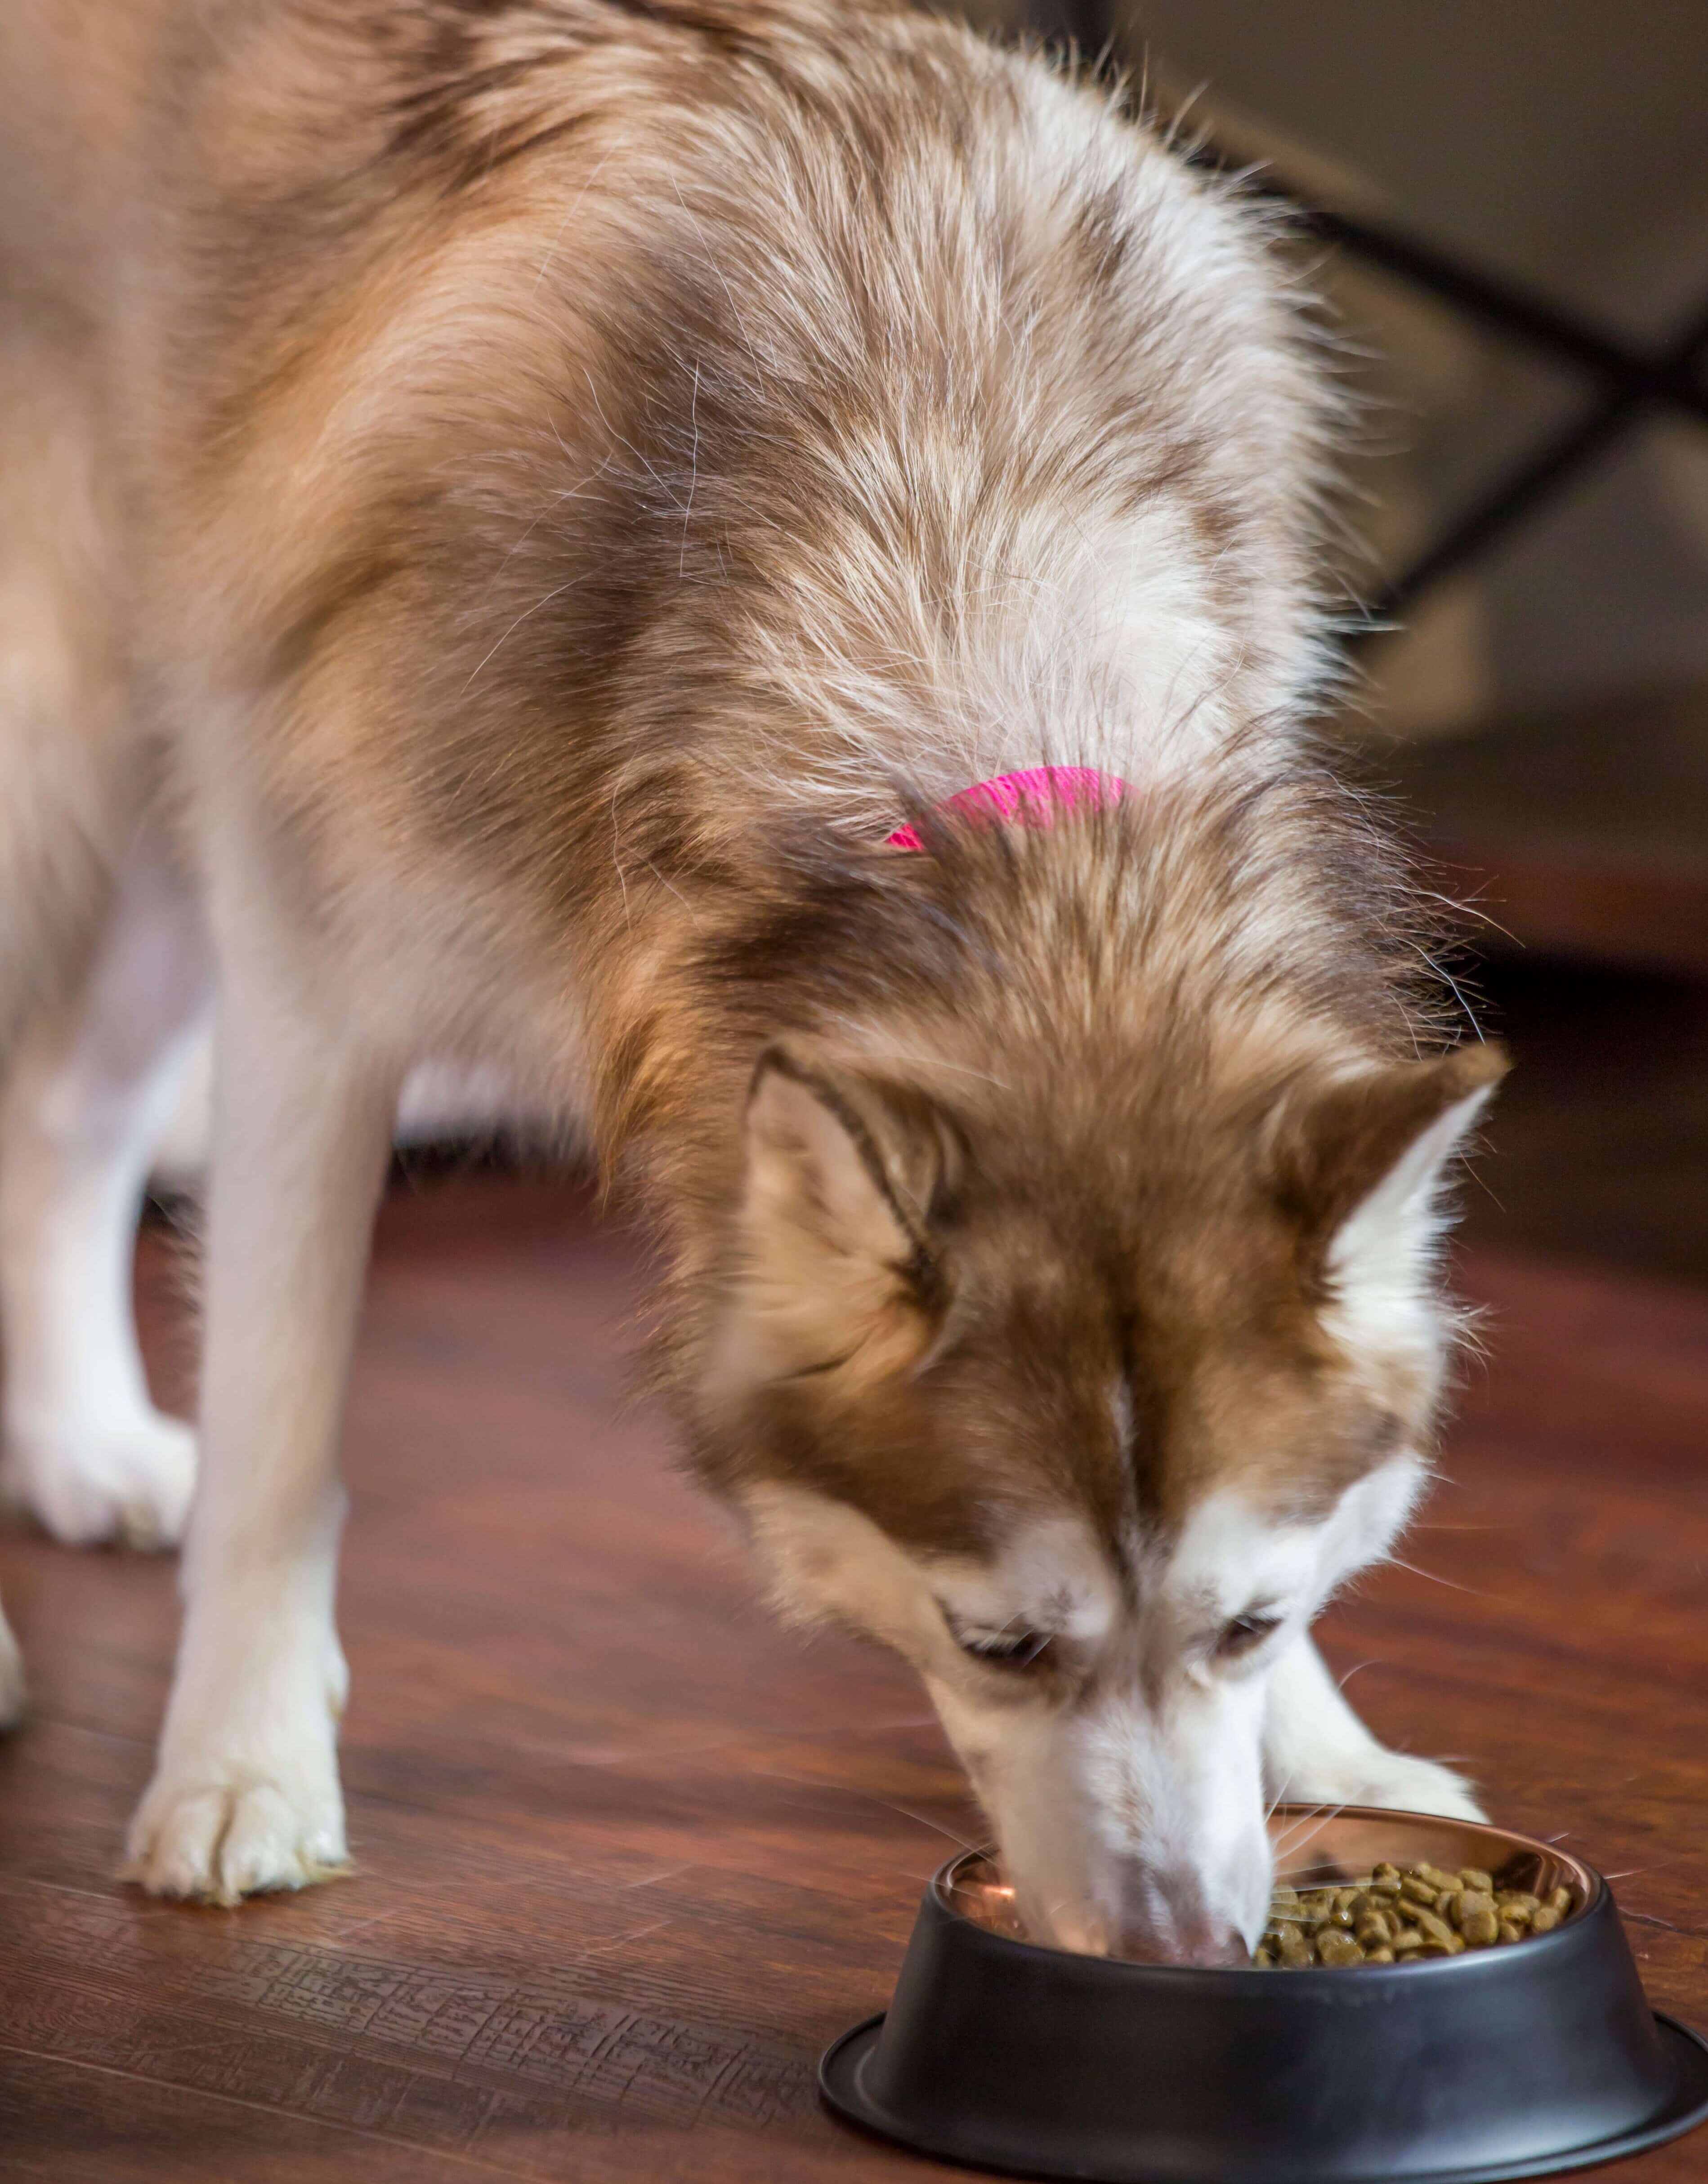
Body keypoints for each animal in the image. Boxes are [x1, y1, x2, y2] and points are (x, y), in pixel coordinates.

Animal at [0, 0, 1502, 1948]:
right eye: (996, 1643)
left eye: (1242, 1621)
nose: (1181, 1948)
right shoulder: (316, 1007)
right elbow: (278, 1442)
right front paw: (246, 1771)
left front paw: (1331, 1749)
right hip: (78, 780)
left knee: (65, 1114)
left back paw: (81, 1441)